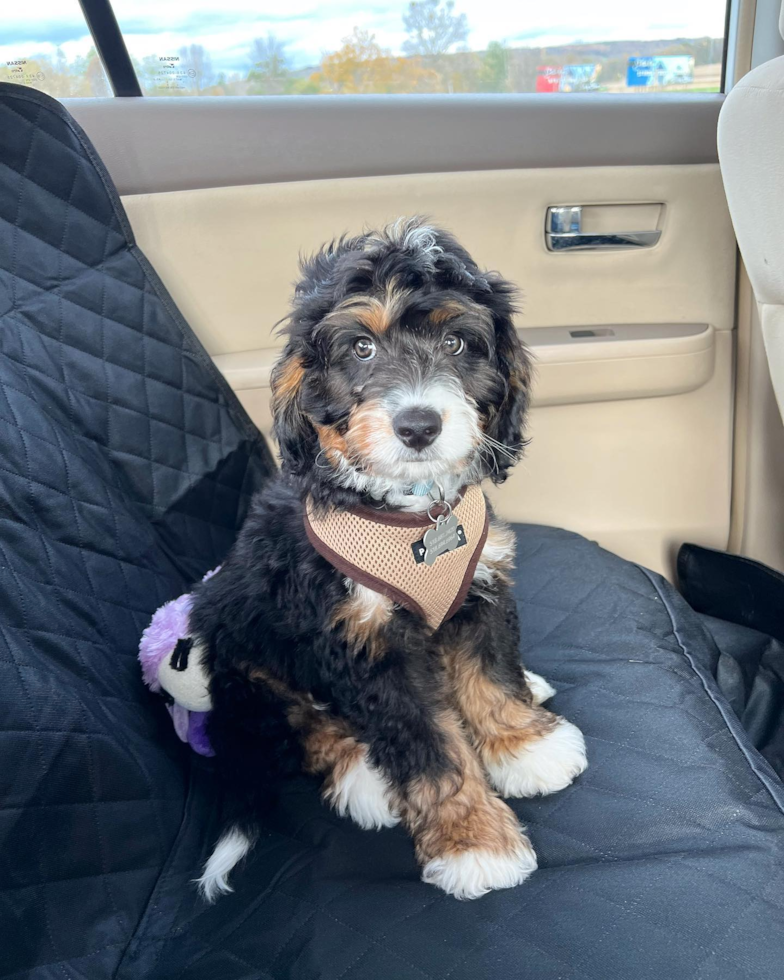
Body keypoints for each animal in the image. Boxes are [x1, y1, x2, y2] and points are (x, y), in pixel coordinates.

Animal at [187, 218, 584, 900]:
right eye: (362, 349)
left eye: (456, 342)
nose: (419, 425)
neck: (413, 513)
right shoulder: (366, 642)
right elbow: (429, 745)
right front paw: (474, 840)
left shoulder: (480, 586)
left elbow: (491, 675)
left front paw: (524, 745)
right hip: (252, 657)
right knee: (303, 721)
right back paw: (362, 776)